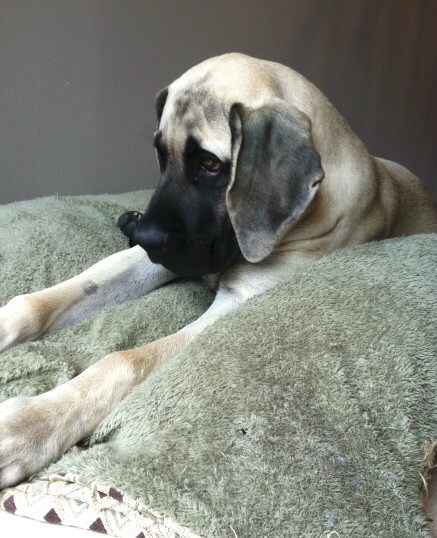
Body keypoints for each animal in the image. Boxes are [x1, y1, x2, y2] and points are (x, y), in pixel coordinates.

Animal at [0, 53, 436, 486]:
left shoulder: (235, 303)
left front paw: (29, 425)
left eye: (210, 165)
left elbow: (124, 361)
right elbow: (44, 299)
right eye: (162, 156)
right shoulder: (150, 261)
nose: (145, 234)